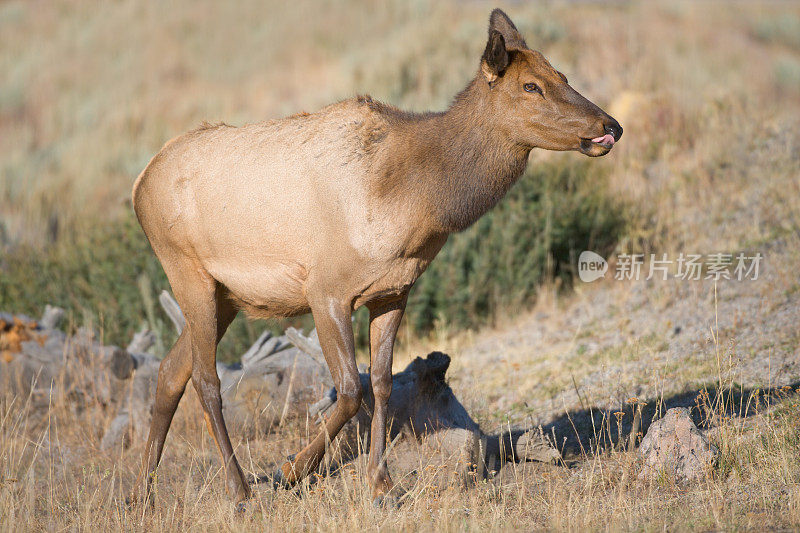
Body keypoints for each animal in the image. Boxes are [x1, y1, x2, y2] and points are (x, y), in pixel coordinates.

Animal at [131, 7, 620, 508]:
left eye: (562, 75)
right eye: (530, 86)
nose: (610, 126)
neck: (413, 203)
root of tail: (139, 183)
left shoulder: (393, 291)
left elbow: (381, 382)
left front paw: (380, 480)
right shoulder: (325, 290)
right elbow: (349, 389)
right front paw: (293, 469)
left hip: (225, 296)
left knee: (170, 371)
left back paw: (141, 493)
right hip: (186, 270)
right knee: (205, 380)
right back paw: (240, 488)